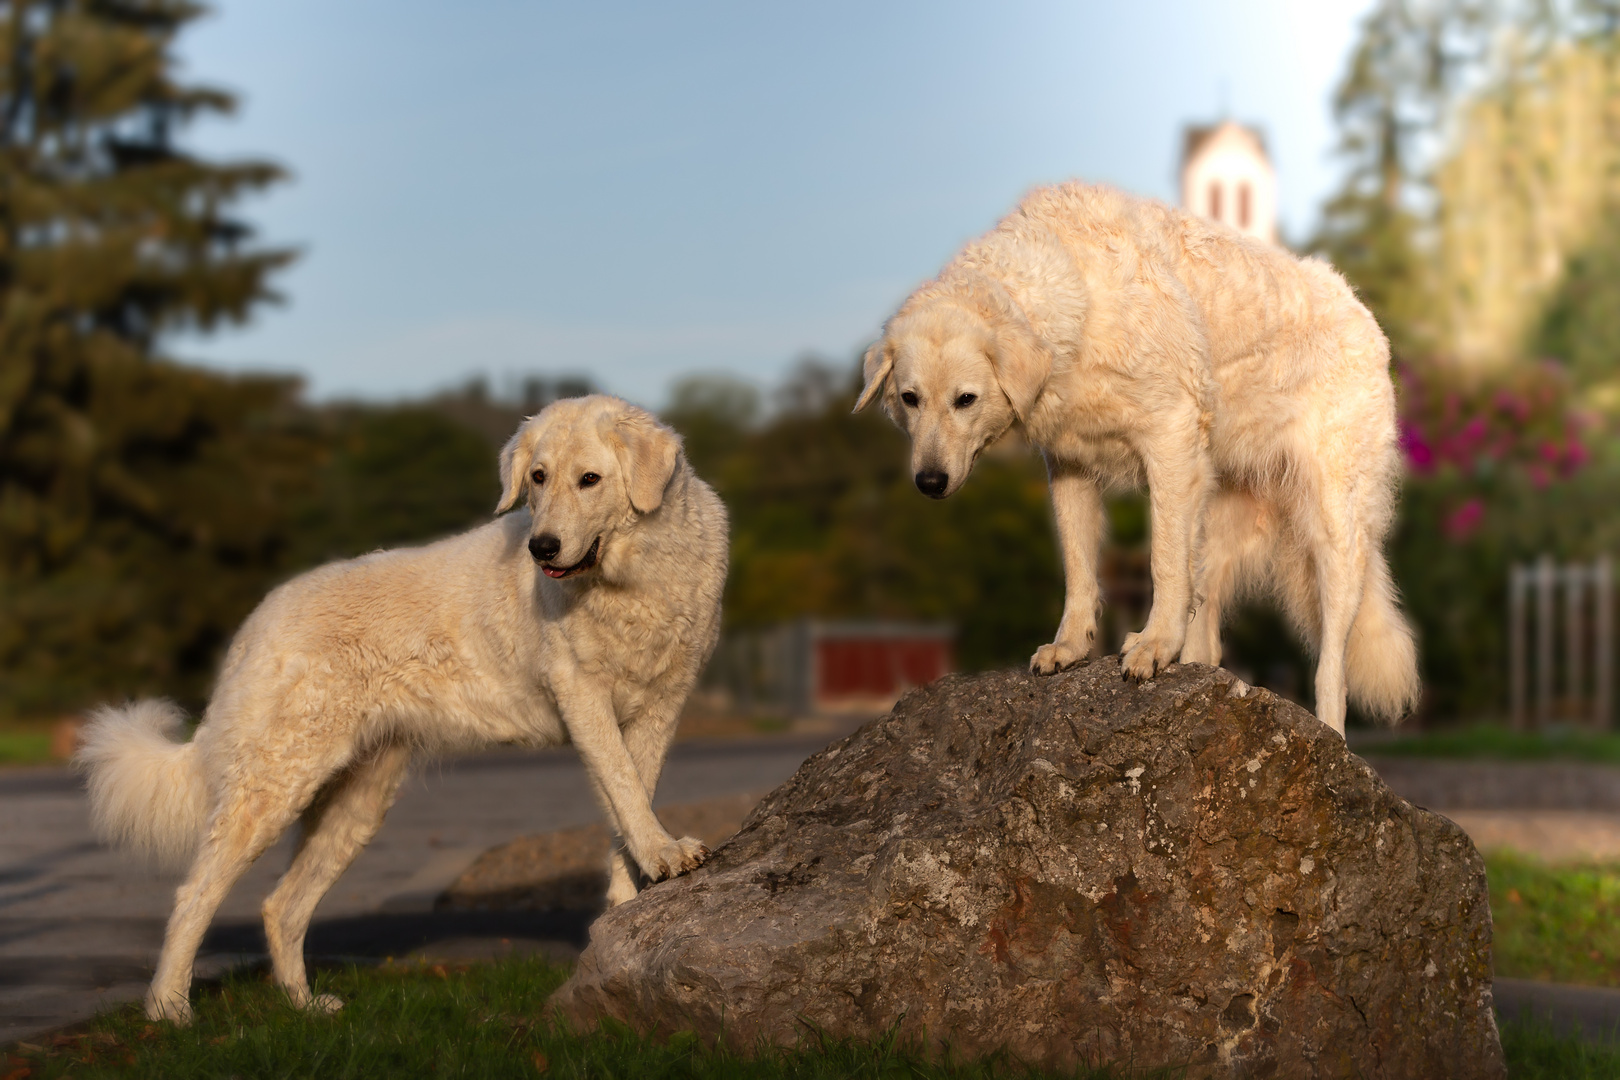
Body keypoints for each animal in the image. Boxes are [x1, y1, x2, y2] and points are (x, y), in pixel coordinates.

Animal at [78, 395, 725, 1023]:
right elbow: (624, 788)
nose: (540, 547)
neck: (632, 579)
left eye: (590, 479)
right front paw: (662, 856)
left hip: (357, 802)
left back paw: (304, 1008)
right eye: (538, 477)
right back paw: (169, 1009)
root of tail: (257, 620)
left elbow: (631, 799)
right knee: (194, 896)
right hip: (273, 787)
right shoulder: (583, 699)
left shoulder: (660, 708)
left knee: (280, 907)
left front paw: (628, 900)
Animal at [861, 181, 1419, 735]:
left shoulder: (1169, 439)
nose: (929, 482)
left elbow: (1162, 563)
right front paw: (1069, 648)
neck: (1077, 303)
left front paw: (1151, 647)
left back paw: (1330, 731)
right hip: (1214, 525)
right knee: (1208, 637)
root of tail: (1363, 311)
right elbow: (1079, 568)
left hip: (1333, 534)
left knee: (1331, 669)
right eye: (910, 399)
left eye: (966, 399)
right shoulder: (1069, 466)